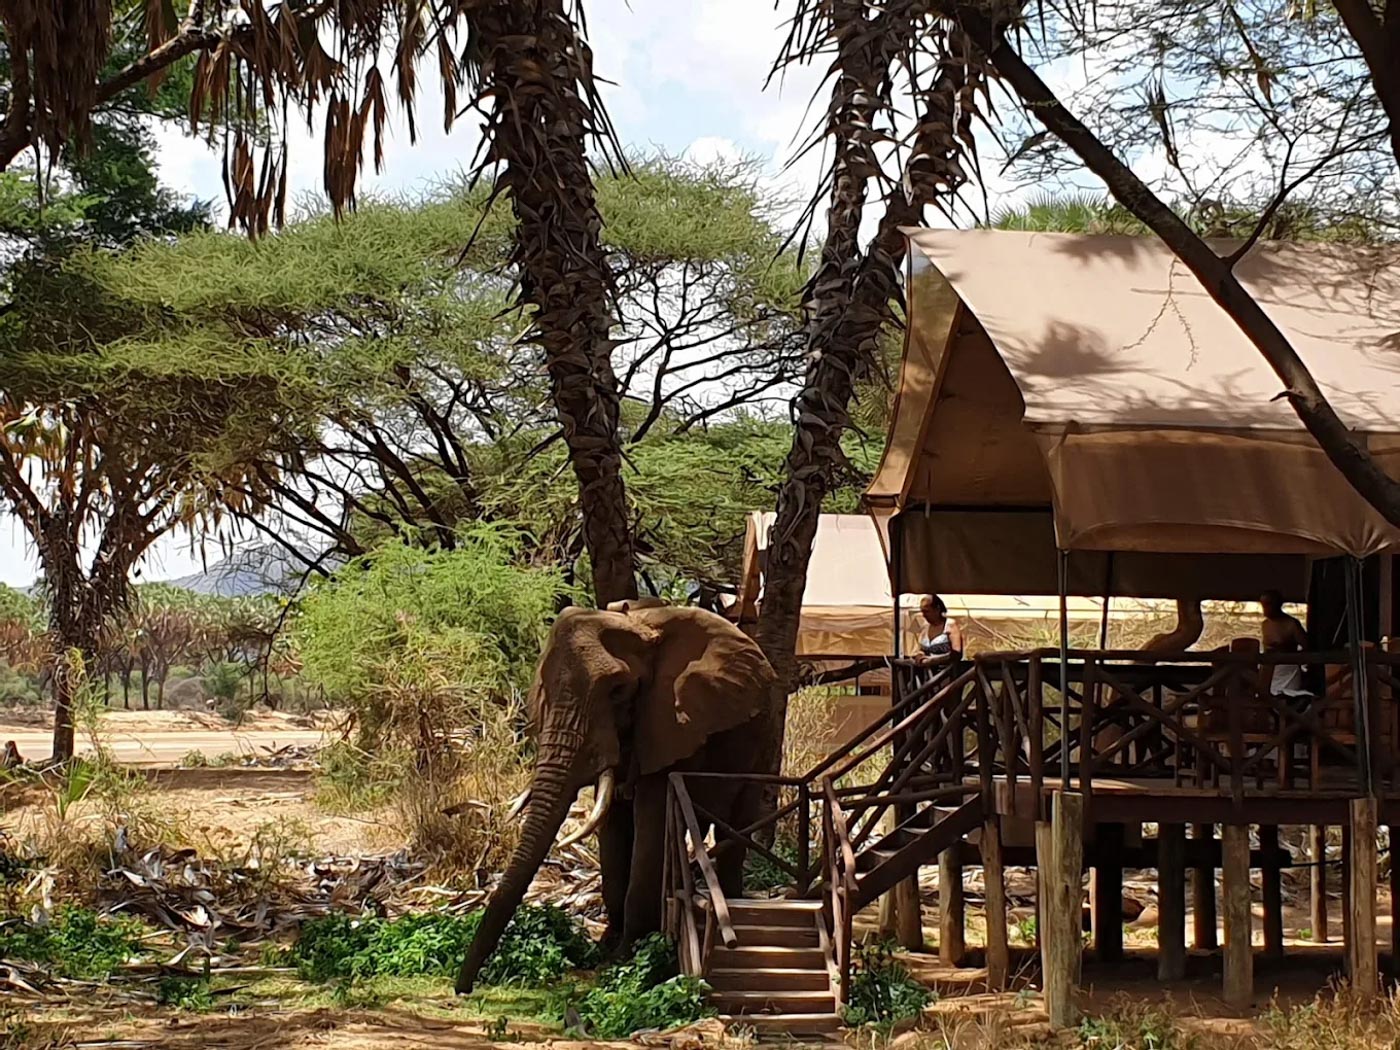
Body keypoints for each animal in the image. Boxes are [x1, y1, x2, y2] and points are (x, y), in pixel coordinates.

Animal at [455, 603, 779, 993]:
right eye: (544, 686)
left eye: (618, 691)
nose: (463, 988)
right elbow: (611, 827)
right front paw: (606, 948)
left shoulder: (668, 724)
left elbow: (651, 822)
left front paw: (625, 956)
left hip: (762, 739)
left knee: (737, 823)